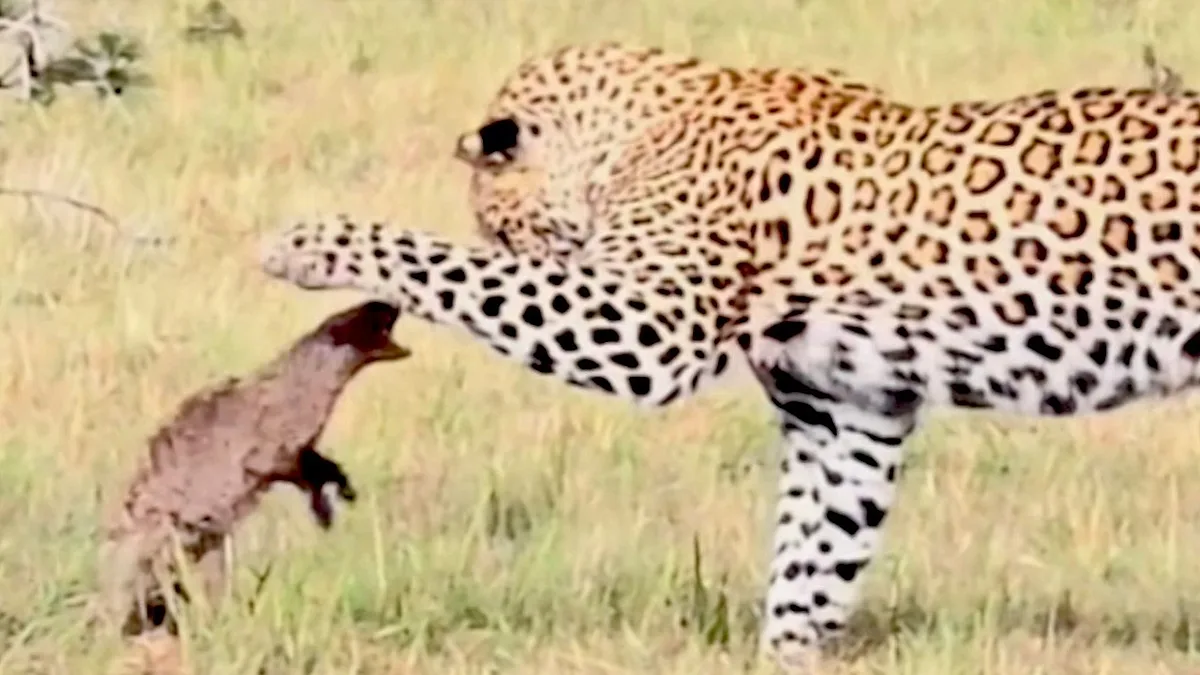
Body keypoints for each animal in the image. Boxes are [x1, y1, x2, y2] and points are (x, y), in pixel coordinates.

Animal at [256, 41, 1200, 672]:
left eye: (502, 226)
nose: (511, 234)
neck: (646, 121)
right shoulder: (848, 411)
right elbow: (814, 556)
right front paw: (784, 651)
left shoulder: (646, 323)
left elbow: (454, 267)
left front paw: (310, 242)